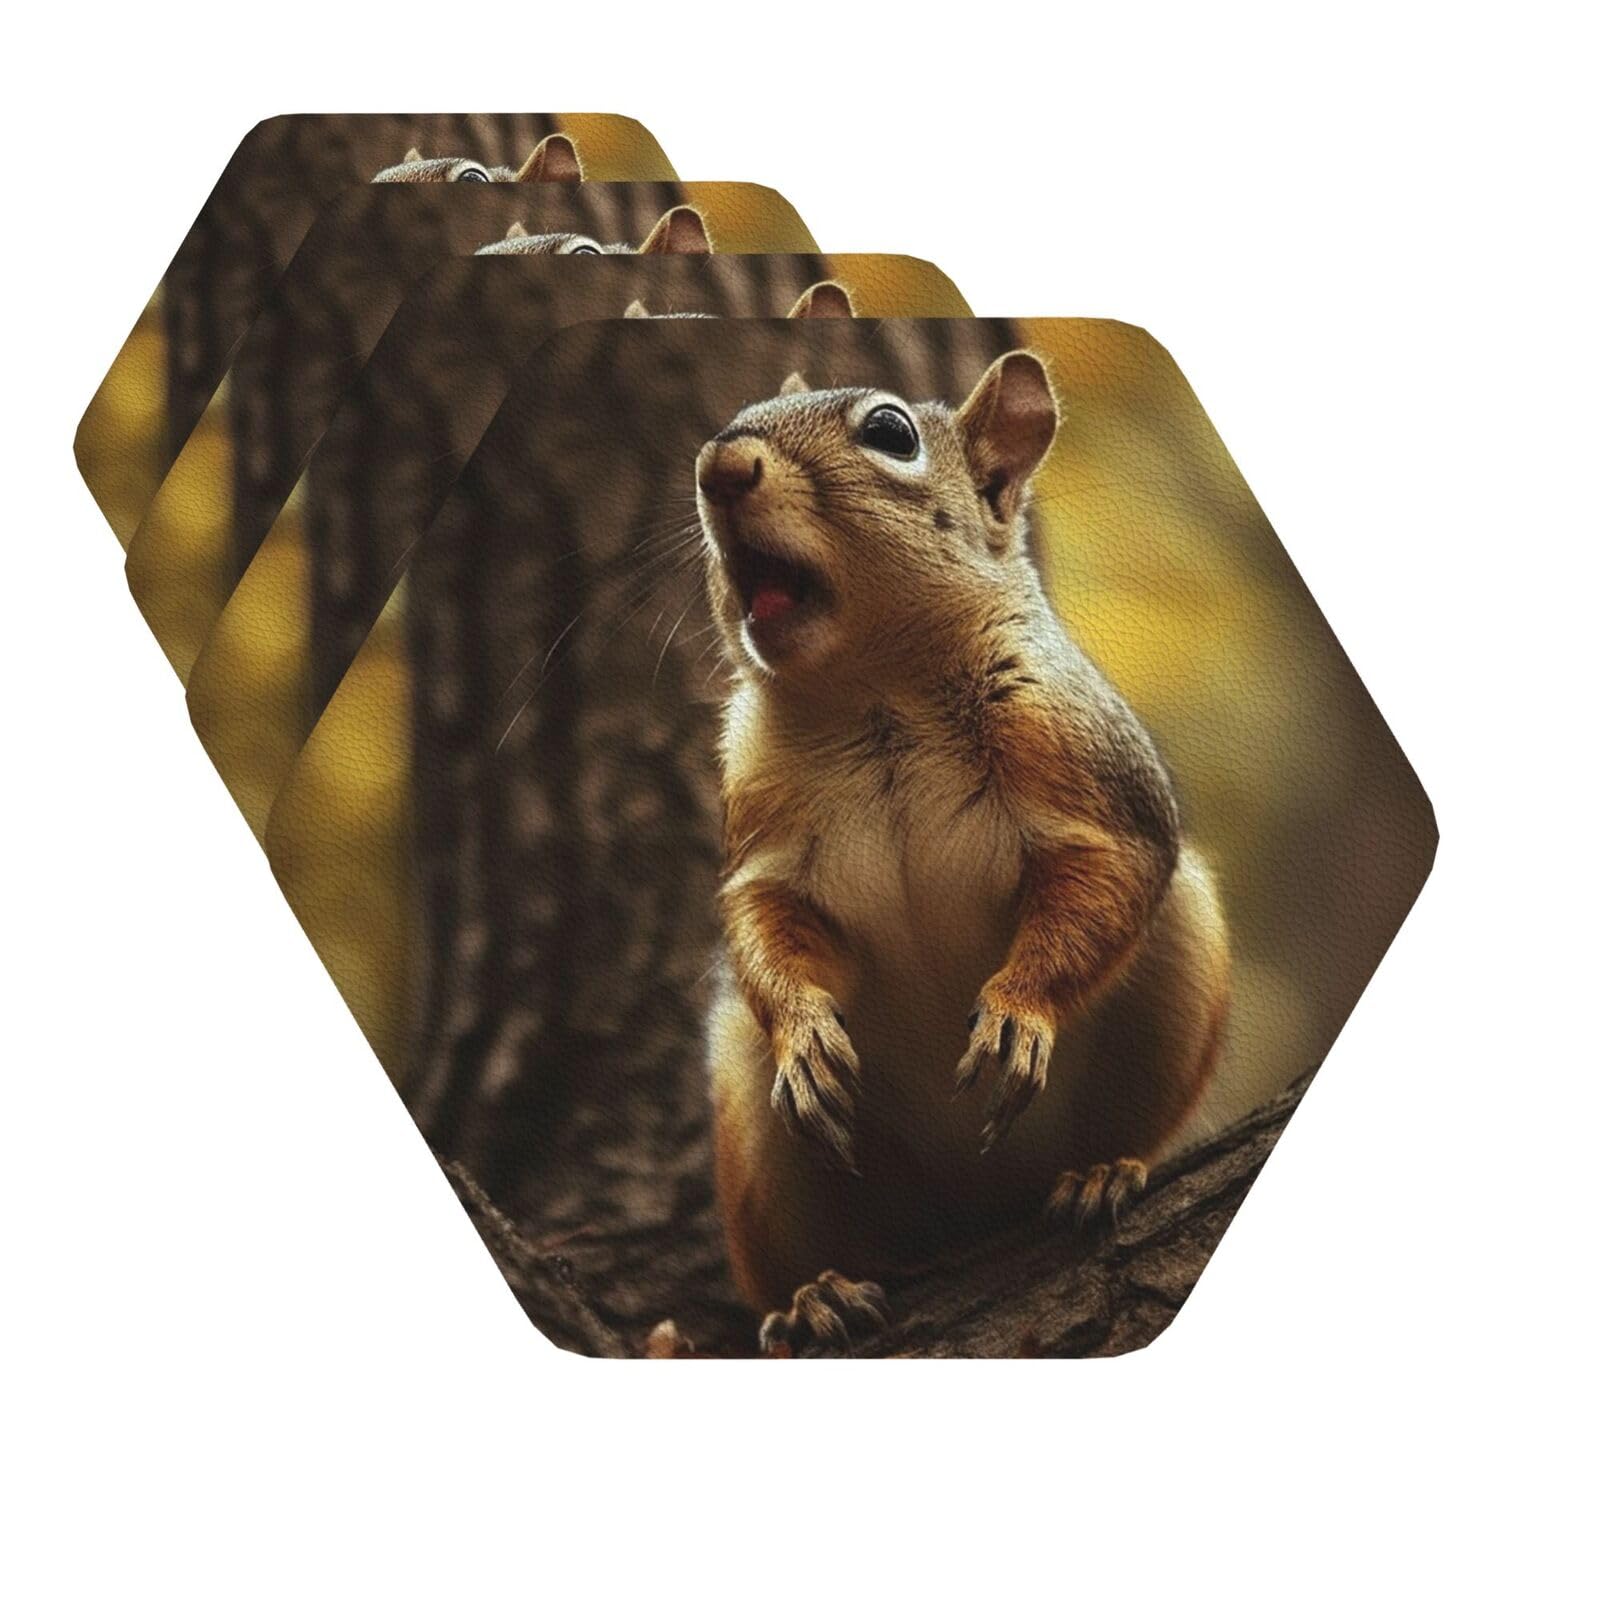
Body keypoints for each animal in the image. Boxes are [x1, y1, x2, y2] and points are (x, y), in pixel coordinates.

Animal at [695, 350, 1233, 1353]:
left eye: (890, 433)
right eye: (726, 420)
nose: (720, 467)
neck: (877, 690)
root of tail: (974, 1212)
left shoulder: (1095, 781)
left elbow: (1101, 882)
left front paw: (1017, 1010)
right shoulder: (761, 832)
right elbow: (764, 922)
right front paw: (804, 1034)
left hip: (1178, 975)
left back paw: (1102, 1174)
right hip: (755, 1130)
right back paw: (817, 1296)